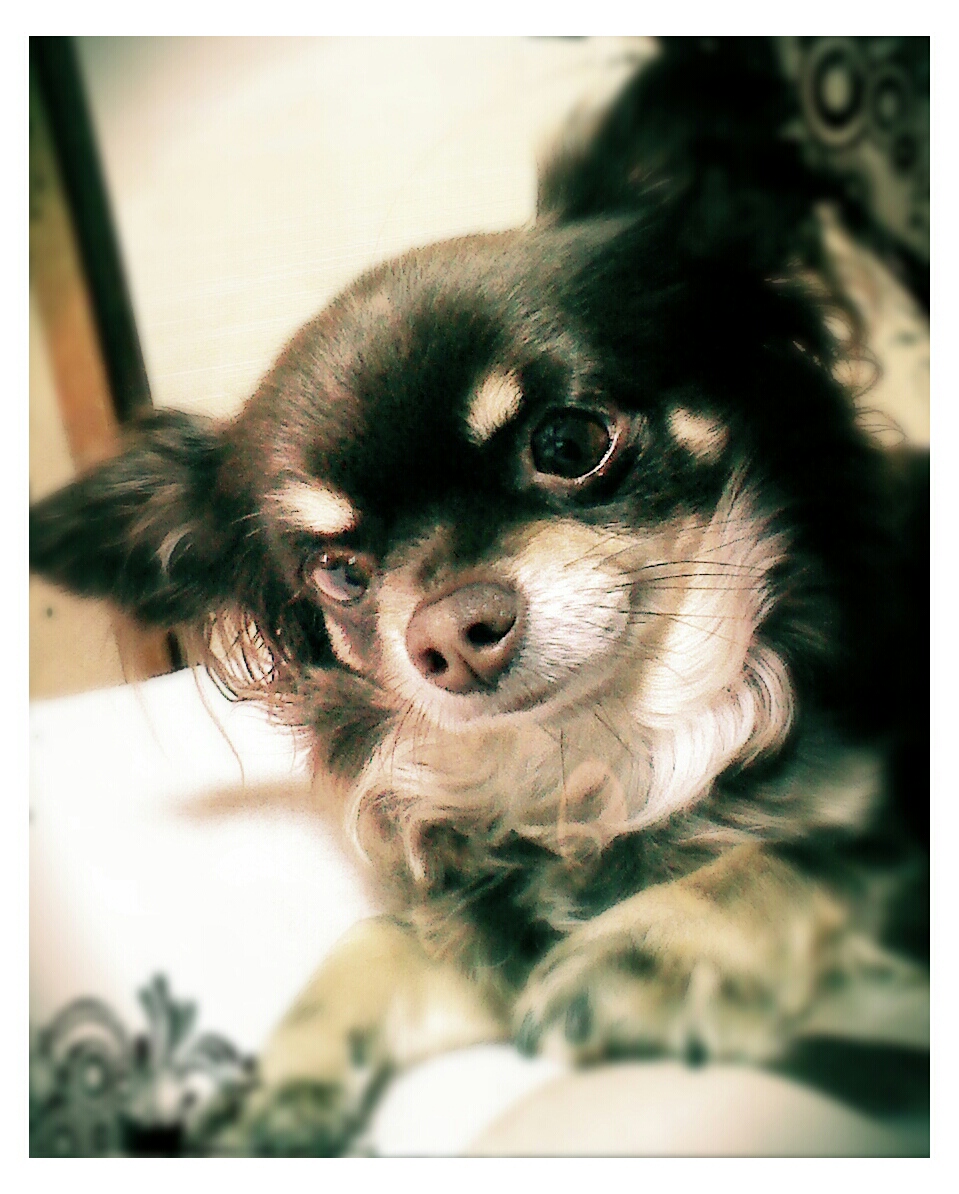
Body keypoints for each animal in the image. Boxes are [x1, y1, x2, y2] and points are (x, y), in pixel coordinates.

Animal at [30, 40, 929, 1154]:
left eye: (569, 441)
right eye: (338, 571)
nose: (450, 639)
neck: (600, 753)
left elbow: (797, 856)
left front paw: (646, 946)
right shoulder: (485, 945)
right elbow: (373, 943)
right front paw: (275, 1084)